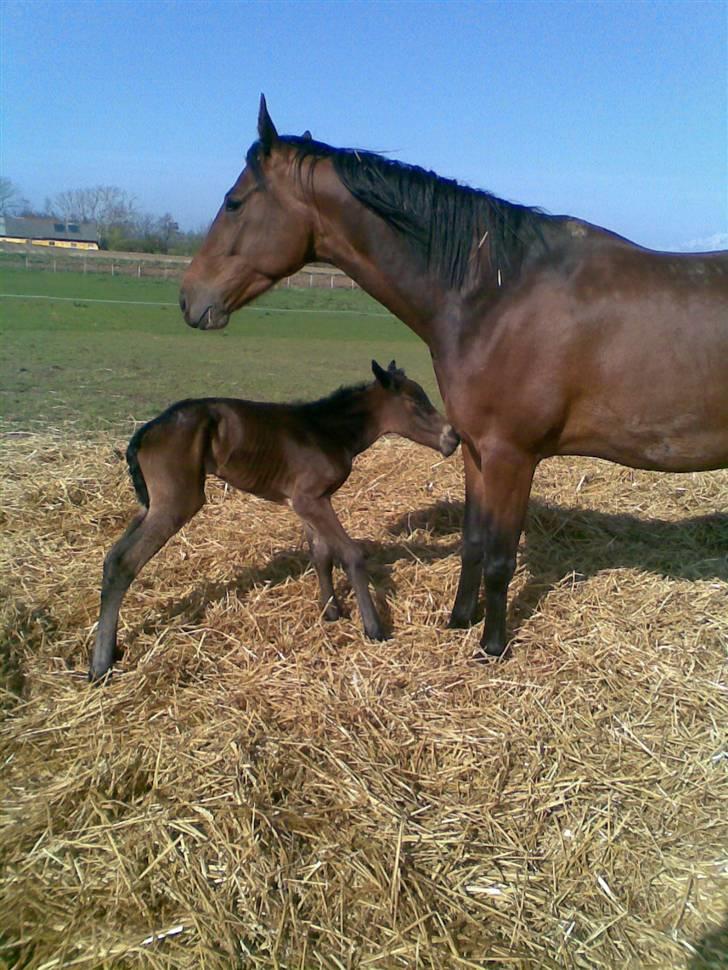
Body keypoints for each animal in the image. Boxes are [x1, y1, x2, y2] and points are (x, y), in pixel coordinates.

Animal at [89, 360, 456, 676]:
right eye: (416, 402)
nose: (452, 437)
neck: (327, 430)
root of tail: (145, 434)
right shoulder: (309, 499)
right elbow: (351, 553)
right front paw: (374, 627)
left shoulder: (310, 501)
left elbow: (321, 554)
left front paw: (331, 612)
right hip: (176, 502)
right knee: (125, 561)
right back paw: (100, 665)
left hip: (151, 505)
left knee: (112, 558)